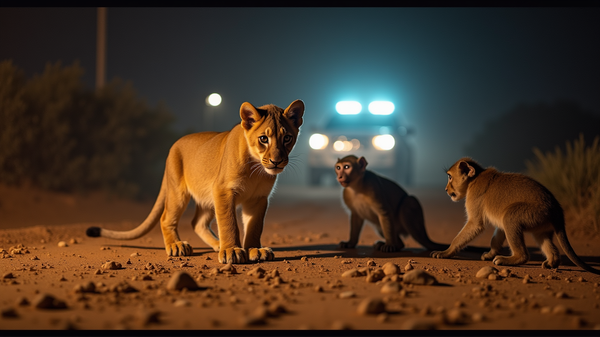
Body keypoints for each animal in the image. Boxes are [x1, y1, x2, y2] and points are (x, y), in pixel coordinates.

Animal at [432, 157, 600, 272]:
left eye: (450, 177)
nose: (446, 189)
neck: (474, 179)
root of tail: (556, 207)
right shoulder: (499, 223)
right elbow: (496, 238)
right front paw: (490, 254)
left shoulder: (475, 212)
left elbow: (467, 231)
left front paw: (446, 252)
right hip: (540, 226)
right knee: (548, 246)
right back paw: (552, 262)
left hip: (518, 214)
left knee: (523, 251)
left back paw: (509, 259)